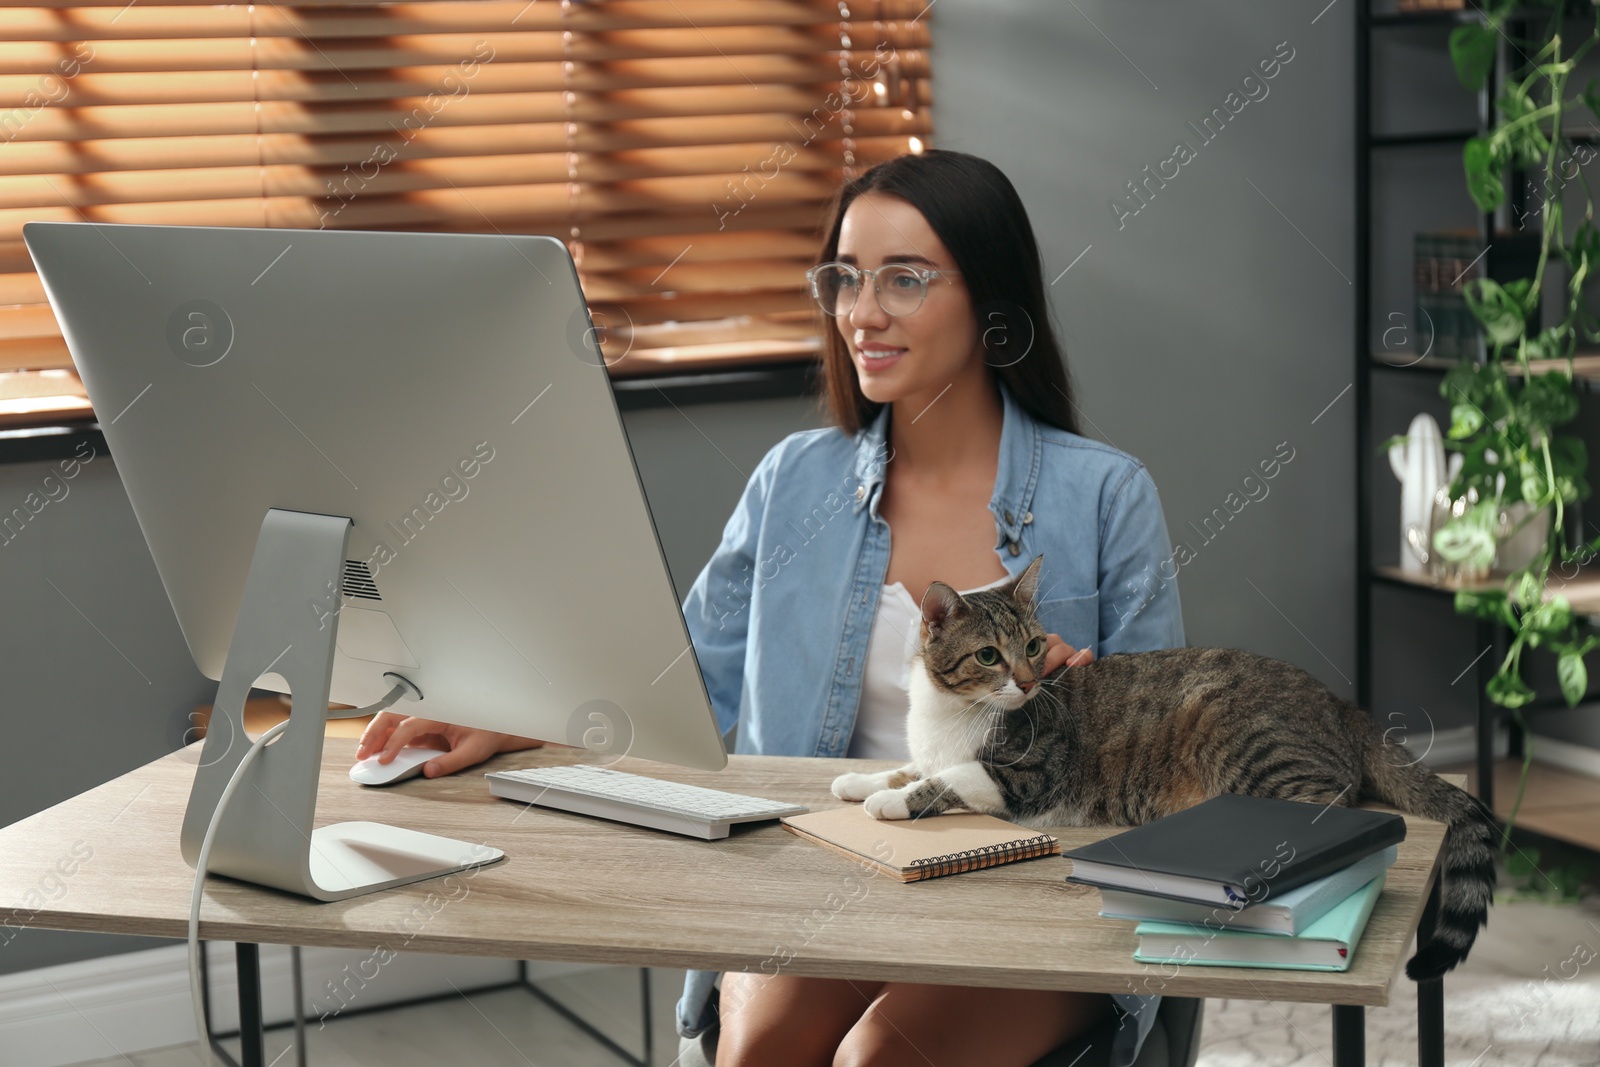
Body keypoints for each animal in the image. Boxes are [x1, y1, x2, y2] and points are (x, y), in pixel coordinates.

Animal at [838, 556, 1497, 979]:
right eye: (987, 656)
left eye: (1032, 647)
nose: (1026, 683)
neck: (950, 715)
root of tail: (1339, 703)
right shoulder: (932, 750)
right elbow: (906, 766)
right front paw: (856, 780)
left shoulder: (1022, 776)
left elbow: (942, 780)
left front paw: (888, 802)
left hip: (1241, 738)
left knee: (1328, 804)